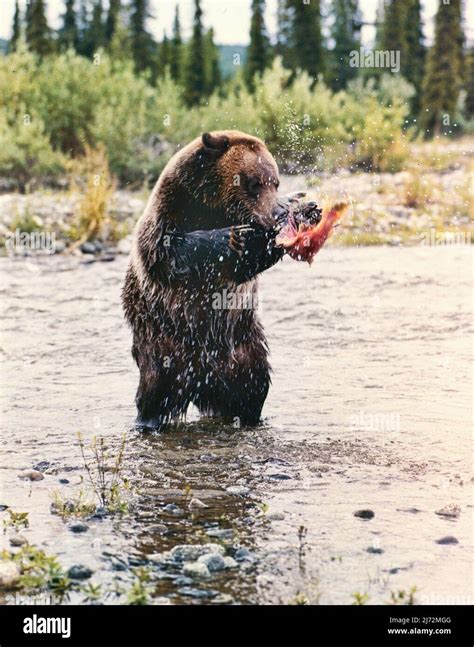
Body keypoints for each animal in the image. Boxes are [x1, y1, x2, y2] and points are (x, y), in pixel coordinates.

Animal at [122, 130, 286, 430]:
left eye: (275, 183)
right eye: (254, 183)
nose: (275, 215)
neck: (213, 206)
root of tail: (200, 381)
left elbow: (245, 268)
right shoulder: (169, 210)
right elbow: (168, 251)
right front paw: (233, 237)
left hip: (243, 347)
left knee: (252, 388)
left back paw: (250, 417)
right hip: (163, 349)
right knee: (153, 393)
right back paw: (147, 422)